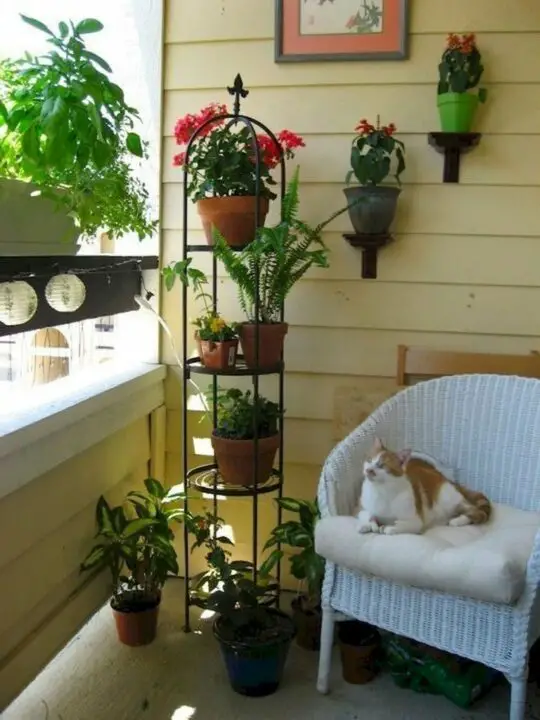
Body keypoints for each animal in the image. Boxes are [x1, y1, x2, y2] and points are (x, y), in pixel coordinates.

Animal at [356, 438, 492, 536]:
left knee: (477, 511)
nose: (369, 470)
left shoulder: (416, 520)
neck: (380, 490)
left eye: (382, 465)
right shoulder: (359, 509)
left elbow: (403, 525)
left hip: (448, 499)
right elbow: (366, 515)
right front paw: (368, 524)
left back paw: (457, 521)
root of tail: (448, 479)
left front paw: (390, 527)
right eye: (369, 460)